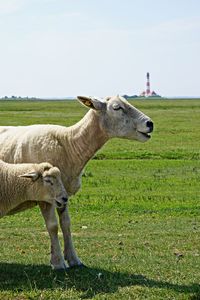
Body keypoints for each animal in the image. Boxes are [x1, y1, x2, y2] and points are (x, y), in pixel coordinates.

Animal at [0, 95, 154, 270]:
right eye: (117, 107)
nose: (150, 123)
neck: (68, 145)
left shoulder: (62, 195)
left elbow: (66, 224)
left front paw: (73, 259)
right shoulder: (44, 196)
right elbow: (53, 226)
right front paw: (58, 262)